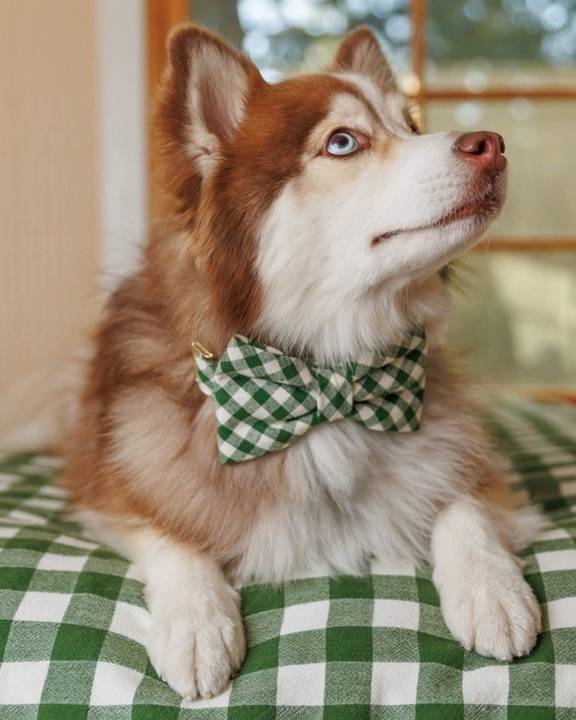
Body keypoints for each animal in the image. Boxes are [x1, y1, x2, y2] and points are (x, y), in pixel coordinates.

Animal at [42, 23, 544, 704]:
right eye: (343, 142)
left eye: (411, 125)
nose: (491, 144)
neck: (325, 375)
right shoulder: (118, 477)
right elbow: (173, 535)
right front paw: (197, 622)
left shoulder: (461, 447)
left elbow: (464, 507)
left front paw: (492, 590)